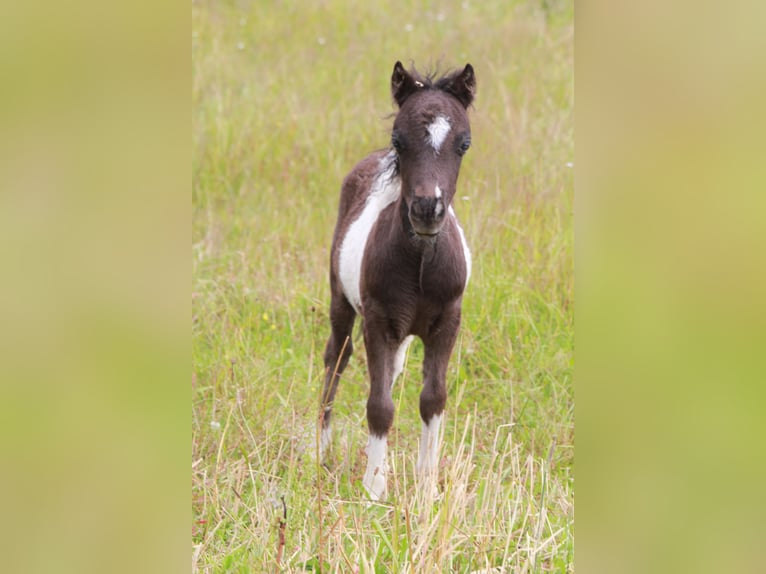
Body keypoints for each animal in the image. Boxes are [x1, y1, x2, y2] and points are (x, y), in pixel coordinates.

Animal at [318, 60, 474, 502]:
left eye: (464, 143)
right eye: (398, 140)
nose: (426, 209)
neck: (420, 265)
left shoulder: (447, 321)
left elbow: (433, 398)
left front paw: (427, 485)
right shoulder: (378, 322)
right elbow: (379, 404)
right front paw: (374, 488)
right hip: (340, 300)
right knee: (336, 358)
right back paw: (320, 451)